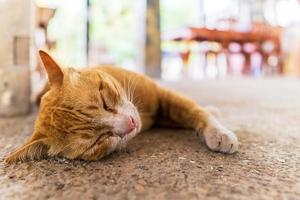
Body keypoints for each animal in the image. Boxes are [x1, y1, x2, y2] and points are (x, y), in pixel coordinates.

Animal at [4, 50, 239, 163]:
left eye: (104, 101)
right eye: (97, 141)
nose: (132, 124)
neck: (145, 113)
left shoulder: (162, 95)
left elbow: (194, 110)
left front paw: (219, 133)